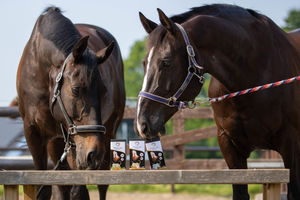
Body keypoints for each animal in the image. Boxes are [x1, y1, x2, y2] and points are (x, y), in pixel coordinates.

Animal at [17, 7, 125, 199]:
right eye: (75, 89)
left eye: (104, 91)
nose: (95, 154)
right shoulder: (33, 133)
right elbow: (45, 189)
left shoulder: (77, 144)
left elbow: (79, 191)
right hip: (57, 143)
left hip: (108, 133)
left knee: (101, 185)